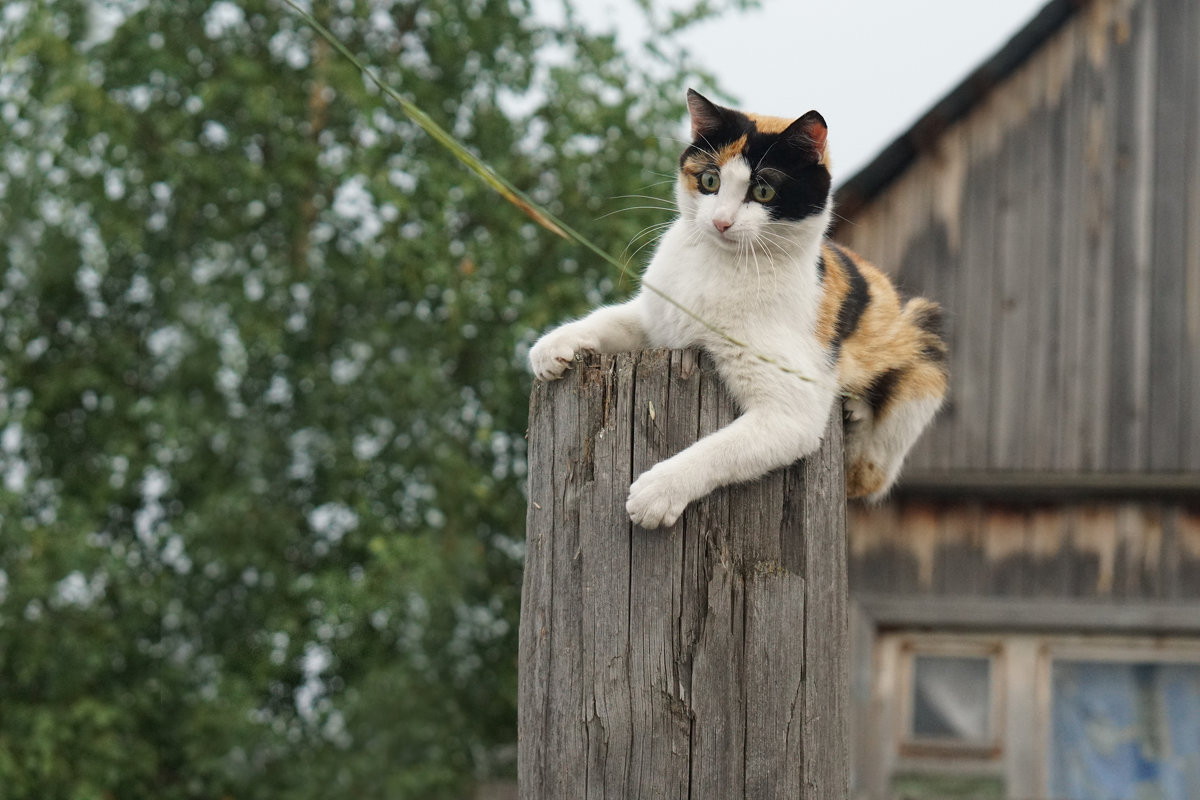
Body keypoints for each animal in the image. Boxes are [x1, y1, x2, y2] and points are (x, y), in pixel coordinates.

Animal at [530, 90, 940, 527]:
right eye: (709, 181)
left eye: (763, 192)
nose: (721, 221)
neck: (718, 264)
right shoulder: (658, 318)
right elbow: (611, 319)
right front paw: (552, 347)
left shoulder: (790, 412)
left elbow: (721, 448)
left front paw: (658, 492)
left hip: (925, 346)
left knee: (870, 472)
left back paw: (856, 414)